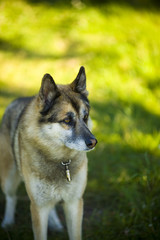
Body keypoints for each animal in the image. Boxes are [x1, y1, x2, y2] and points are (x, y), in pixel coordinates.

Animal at [0, 66, 97, 240]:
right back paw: (8, 222)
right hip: (8, 178)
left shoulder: (74, 203)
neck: (61, 161)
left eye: (85, 117)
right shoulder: (38, 206)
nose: (93, 142)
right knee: (11, 197)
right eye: (67, 120)